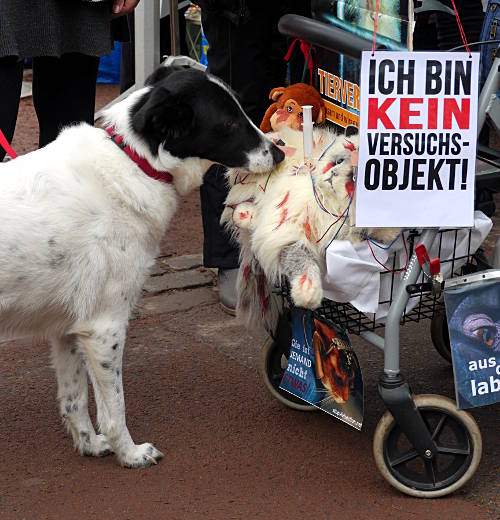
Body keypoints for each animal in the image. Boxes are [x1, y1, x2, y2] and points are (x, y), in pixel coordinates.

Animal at [0, 64, 284, 468]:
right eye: (229, 122)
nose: (279, 153)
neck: (134, 162)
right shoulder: (104, 328)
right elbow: (113, 410)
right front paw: (130, 454)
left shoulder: (68, 329)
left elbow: (74, 401)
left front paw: (91, 446)